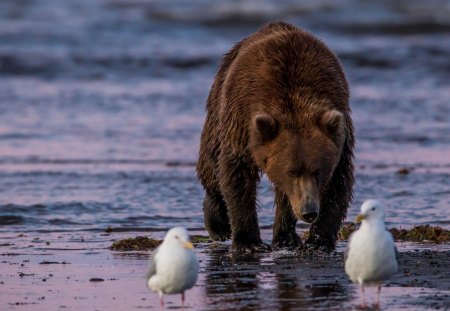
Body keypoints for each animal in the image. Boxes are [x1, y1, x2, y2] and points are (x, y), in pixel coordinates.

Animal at [197, 22, 356, 252]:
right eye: (291, 171)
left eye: (317, 171)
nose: (309, 211)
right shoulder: (241, 119)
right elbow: (236, 173)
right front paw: (248, 241)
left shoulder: (340, 132)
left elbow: (338, 180)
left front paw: (318, 242)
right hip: (218, 103)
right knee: (211, 163)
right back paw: (218, 225)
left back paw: (285, 237)